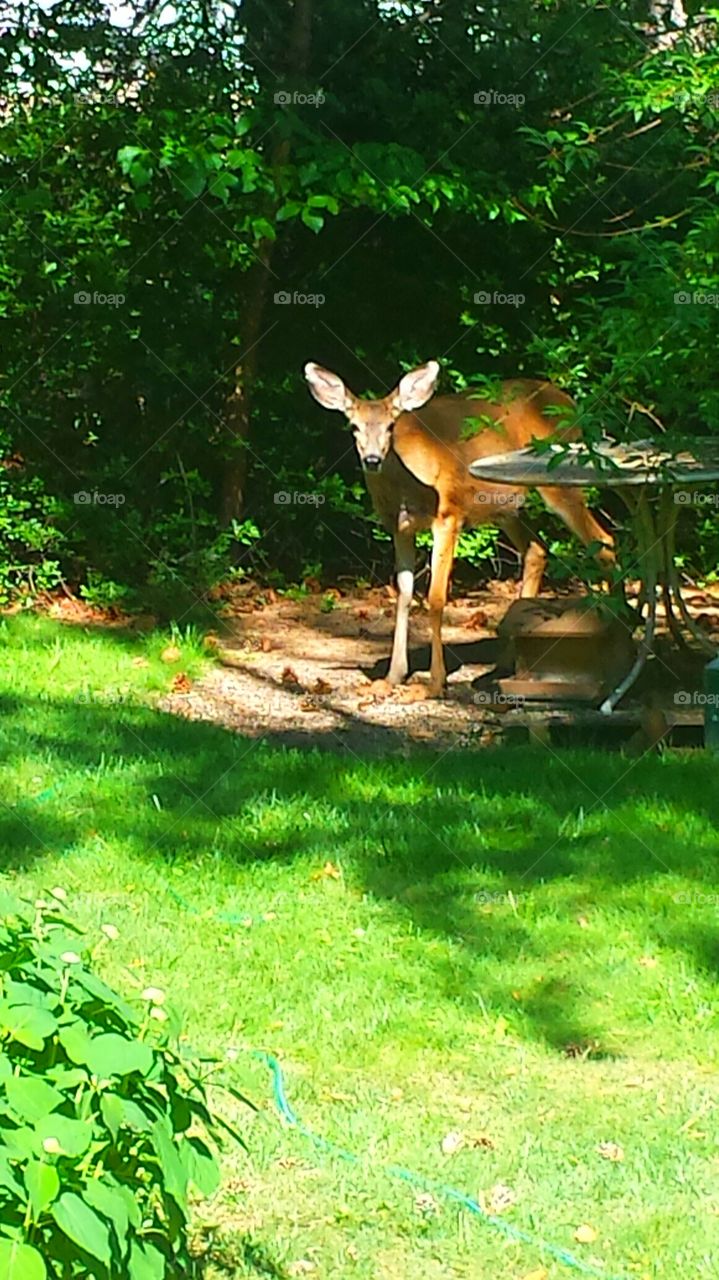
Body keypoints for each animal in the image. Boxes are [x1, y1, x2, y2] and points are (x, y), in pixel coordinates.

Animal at [304, 360, 615, 698]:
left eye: (390, 427)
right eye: (354, 426)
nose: (372, 459)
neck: (405, 488)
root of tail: (569, 402)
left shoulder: (449, 514)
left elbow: (436, 597)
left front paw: (435, 683)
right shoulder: (400, 528)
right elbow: (403, 594)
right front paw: (393, 676)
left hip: (559, 479)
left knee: (604, 541)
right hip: (506, 505)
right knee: (537, 550)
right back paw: (509, 657)